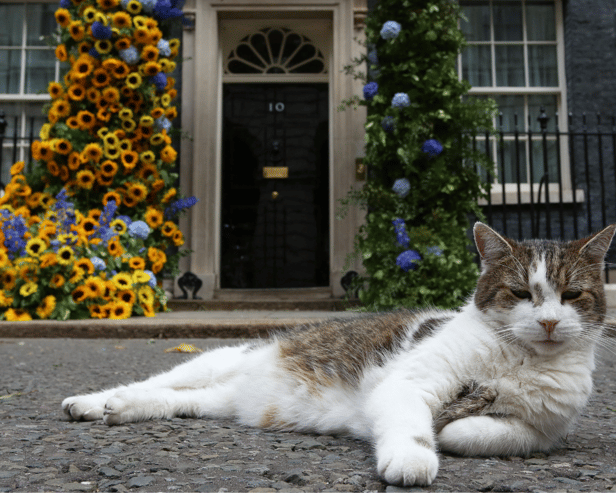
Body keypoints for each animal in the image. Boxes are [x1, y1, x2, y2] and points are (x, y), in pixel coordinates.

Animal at [63, 222, 616, 484]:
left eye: (572, 296)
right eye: (521, 293)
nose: (549, 322)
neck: (519, 361)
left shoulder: (541, 432)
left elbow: (484, 432)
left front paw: (458, 427)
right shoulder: (409, 383)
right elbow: (413, 425)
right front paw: (413, 458)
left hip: (216, 401)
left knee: (175, 400)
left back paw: (120, 409)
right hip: (219, 358)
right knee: (154, 381)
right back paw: (92, 401)